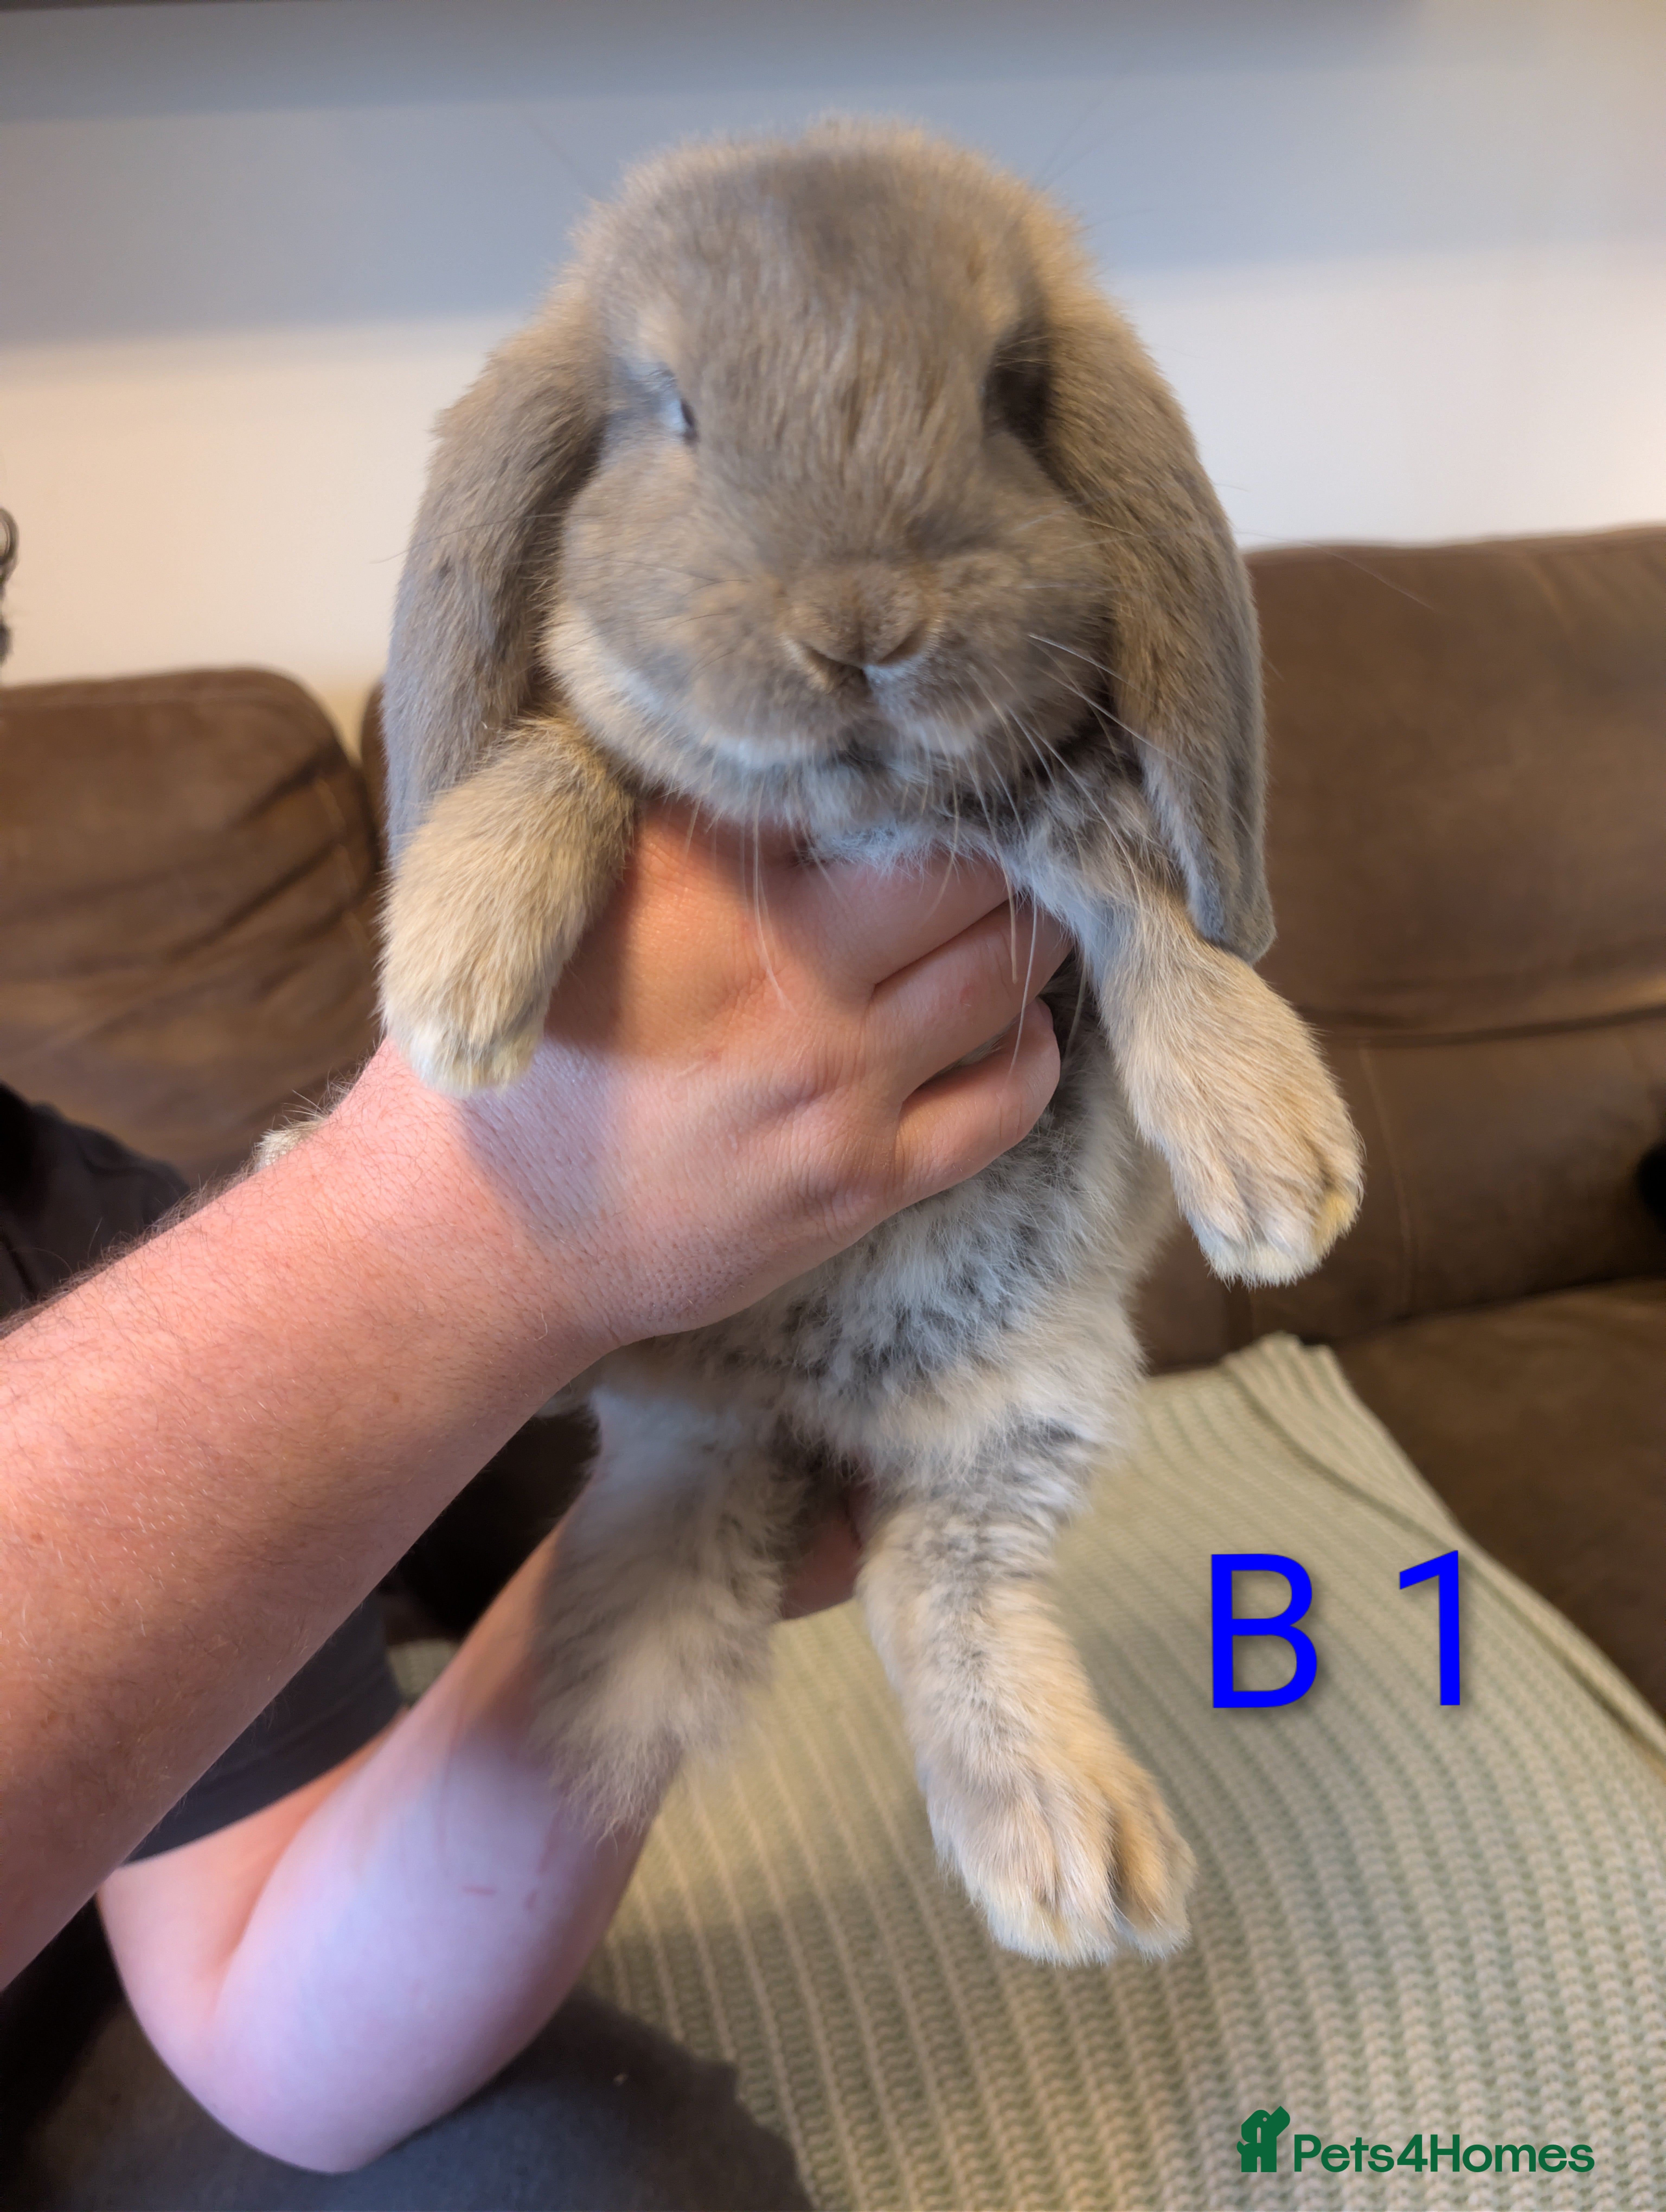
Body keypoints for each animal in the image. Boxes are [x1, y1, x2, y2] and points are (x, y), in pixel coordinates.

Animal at [357, 121, 1362, 1965]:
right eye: (675, 410)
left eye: (1009, 397)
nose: (863, 625)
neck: (858, 821)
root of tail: (775, 1415)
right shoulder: (620, 740)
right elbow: (561, 753)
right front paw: (455, 980)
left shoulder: (1079, 839)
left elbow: (1156, 918)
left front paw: (1274, 1174)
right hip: (649, 1361)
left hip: (1033, 1408)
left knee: (937, 1579)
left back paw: (1073, 1851)